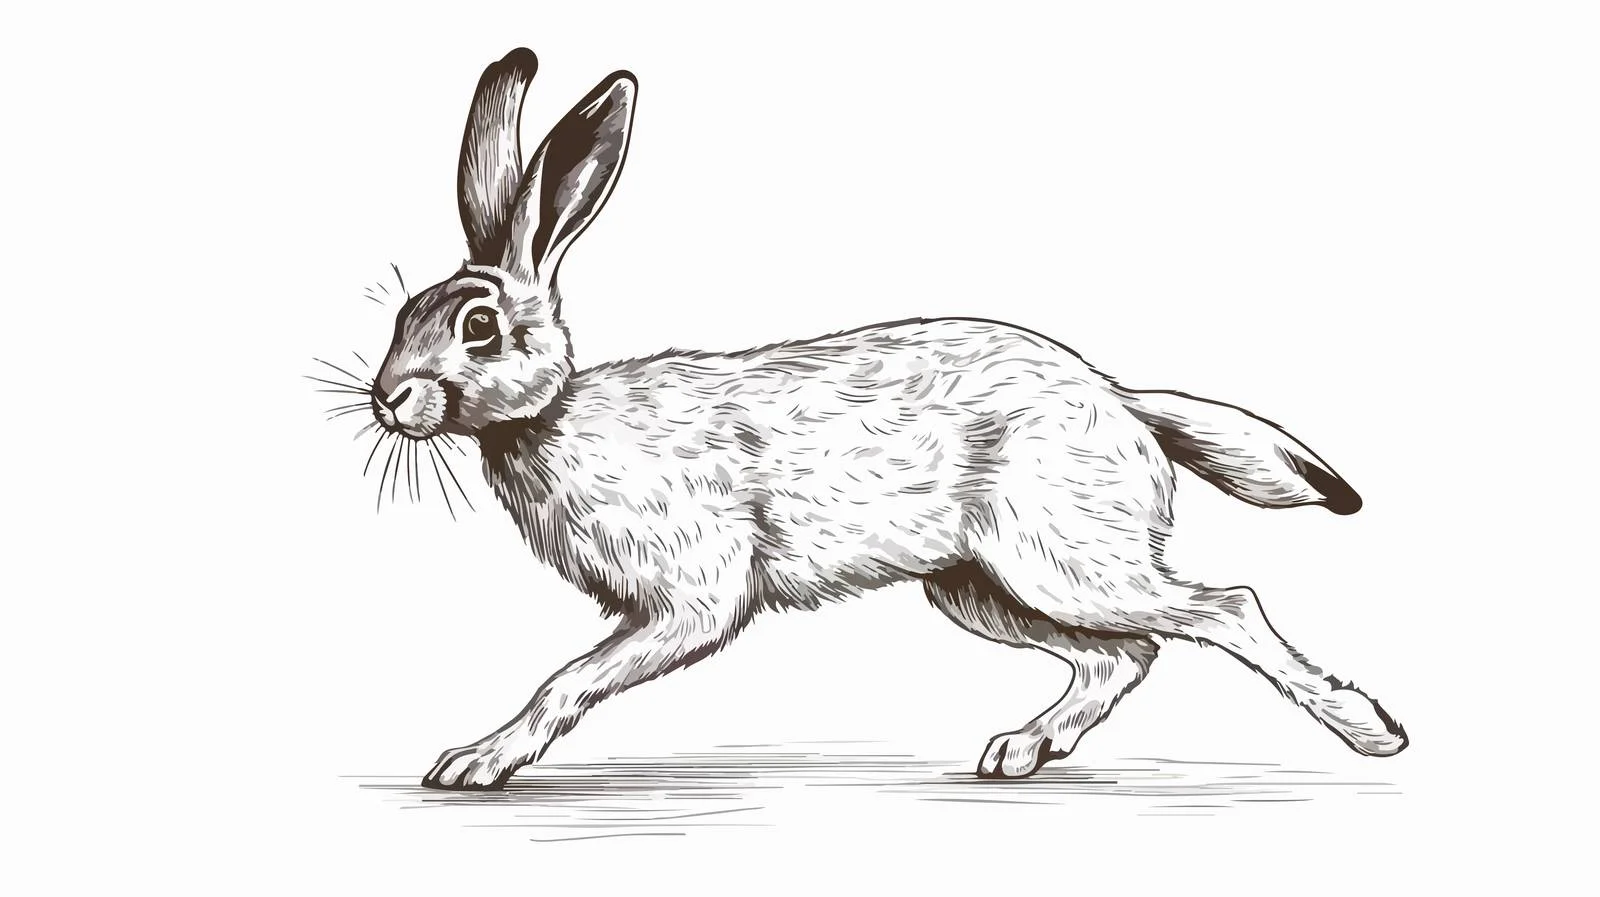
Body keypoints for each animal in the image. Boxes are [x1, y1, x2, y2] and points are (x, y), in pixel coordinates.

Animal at [363, 48, 1407, 791]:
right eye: (404, 314)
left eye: (479, 327)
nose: (387, 398)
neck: (555, 415)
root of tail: (1118, 400)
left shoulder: (694, 596)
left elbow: (567, 677)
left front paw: (475, 763)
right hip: (980, 587)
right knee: (1128, 653)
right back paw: (1020, 751)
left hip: (1062, 559)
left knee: (1224, 607)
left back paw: (1372, 731)